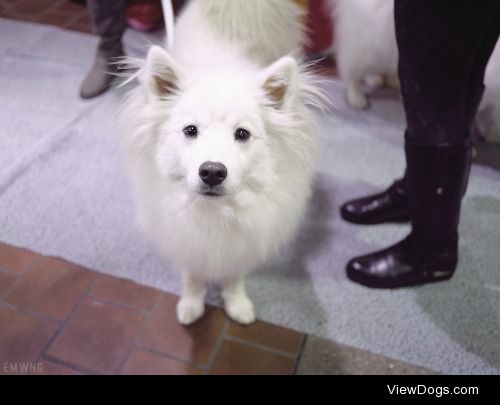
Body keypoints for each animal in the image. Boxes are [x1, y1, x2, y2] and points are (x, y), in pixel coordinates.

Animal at [121, 0, 324, 322]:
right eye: (190, 130)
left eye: (242, 134)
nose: (212, 172)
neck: (214, 213)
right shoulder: (186, 237)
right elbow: (193, 275)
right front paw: (191, 305)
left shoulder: (240, 243)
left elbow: (234, 276)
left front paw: (237, 305)